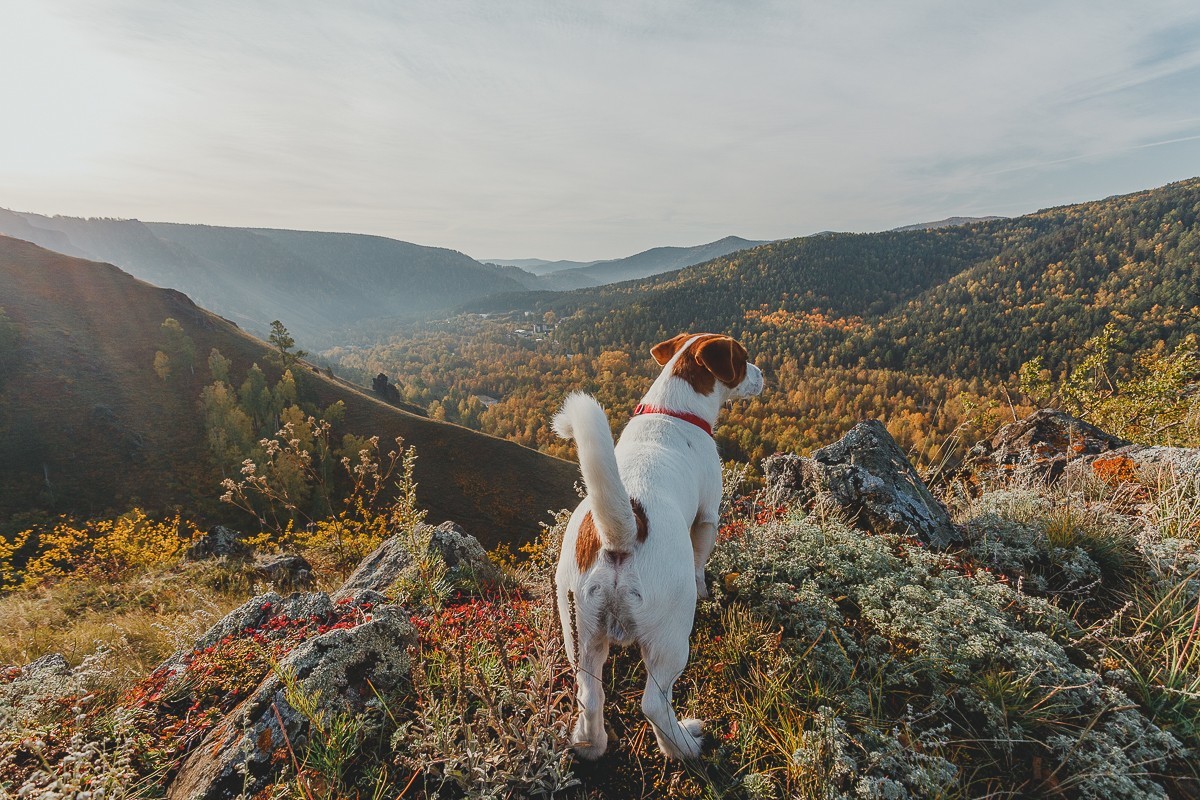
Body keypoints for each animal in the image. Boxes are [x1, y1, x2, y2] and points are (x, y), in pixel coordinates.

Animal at [549, 335, 758, 762]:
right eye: (744, 360)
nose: (762, 374)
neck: (671, 411)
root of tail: (623, 533)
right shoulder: (707, 516)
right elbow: (700, 561)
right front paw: (706, 589)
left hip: (581, 632)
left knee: (589, 696)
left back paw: (591, 745)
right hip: (671, 636)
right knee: (654, 703)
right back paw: (684, 745)